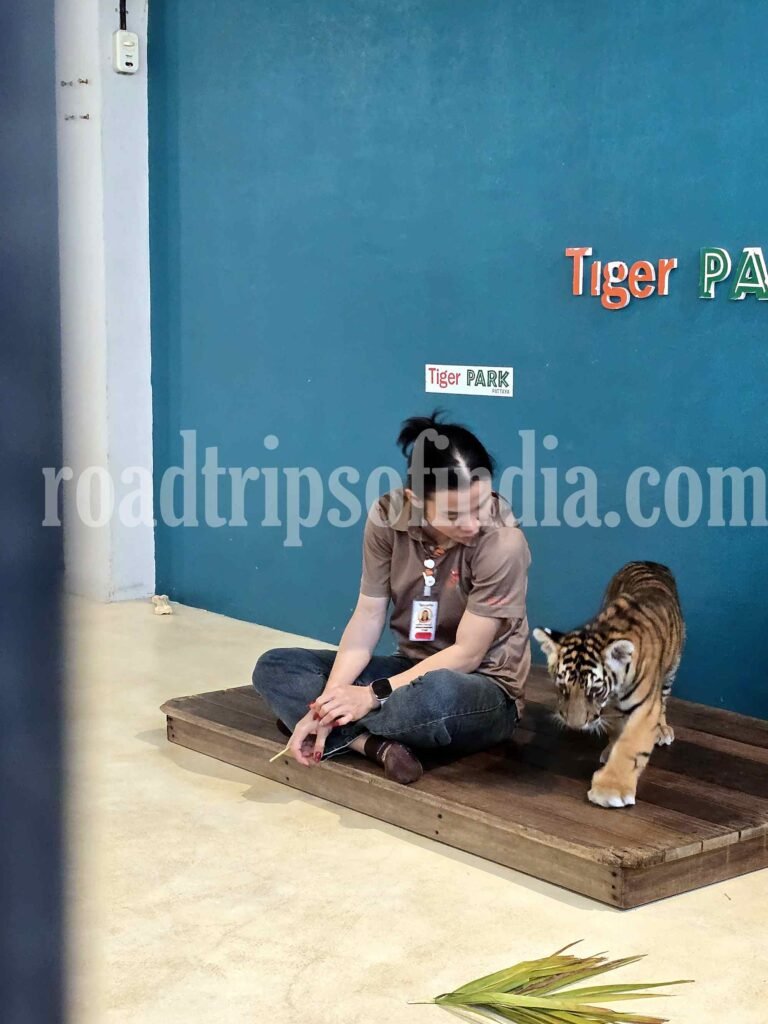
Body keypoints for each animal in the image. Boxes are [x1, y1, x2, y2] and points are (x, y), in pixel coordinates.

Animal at [532, 561, 685, 809]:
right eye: (562, 687)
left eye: (594, 691)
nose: (575, 726)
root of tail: (650, 562)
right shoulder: (611, 707)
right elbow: (616, 730)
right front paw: (610, 749)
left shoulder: (644, 708)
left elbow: (630, 746)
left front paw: (610, 789)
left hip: (671, 669)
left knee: (663, 699)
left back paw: (662, 729)